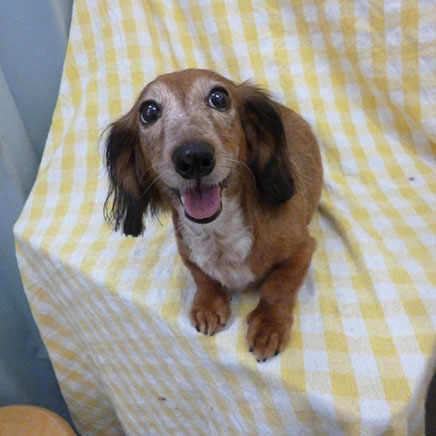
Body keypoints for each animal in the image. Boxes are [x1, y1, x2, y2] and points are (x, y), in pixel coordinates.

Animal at [104, 69, 323, 361]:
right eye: (148, 111)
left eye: (219, 98)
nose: (193, 157)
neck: (218, 231)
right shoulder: (188, 253)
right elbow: (203, 277)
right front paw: (208, 304)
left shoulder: (302, 250)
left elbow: (277, 287)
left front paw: (269, 325)